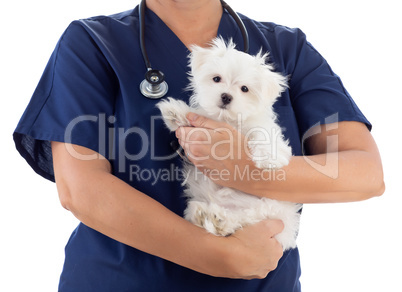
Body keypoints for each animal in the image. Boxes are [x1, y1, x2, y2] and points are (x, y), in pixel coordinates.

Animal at [157, 37, 302, 251]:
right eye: (217, 79)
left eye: (244, 89)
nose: (226, 96)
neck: (227, 120)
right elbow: (194, 116)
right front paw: (176, 113)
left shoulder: (259, 126)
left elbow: (264, 136)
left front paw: (269, 159)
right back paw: (203, 215)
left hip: (270, 210)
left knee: (246, 219)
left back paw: (221, 221)